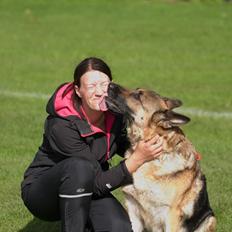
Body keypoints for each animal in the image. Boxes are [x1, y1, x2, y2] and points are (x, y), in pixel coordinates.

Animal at [106, 83, 217, 232]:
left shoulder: (171, 216)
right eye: (136, 90)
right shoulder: (133, 209)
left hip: (210, 219)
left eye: (138, 95)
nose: (110, 84)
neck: (153, 159)